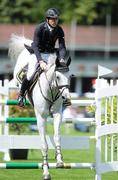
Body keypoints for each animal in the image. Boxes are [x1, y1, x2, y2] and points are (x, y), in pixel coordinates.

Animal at [8, 34, 71, 180]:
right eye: (57, 76)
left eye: (71, 76)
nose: (66, 97)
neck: (52, 89)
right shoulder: (41, 117)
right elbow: (44, 145)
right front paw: (46, 172)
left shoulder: (57, 114)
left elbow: (57, 137)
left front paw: (59, 161)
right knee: (20, 81)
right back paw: (20, 97)